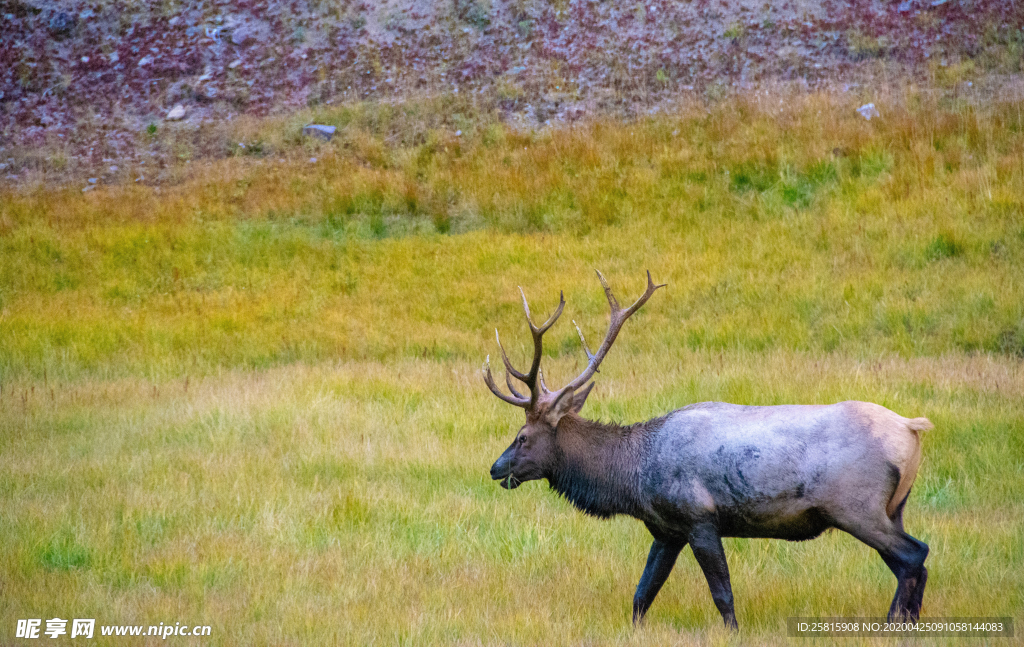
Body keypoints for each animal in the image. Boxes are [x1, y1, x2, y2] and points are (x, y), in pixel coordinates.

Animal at [483, 270, 933, 630]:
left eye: (523, 436)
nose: (494, 468)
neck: (633, 477)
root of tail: (912, 429)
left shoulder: (699, 518)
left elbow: (722, 594)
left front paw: (733, 632)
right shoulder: (666, 530)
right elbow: (642, 594)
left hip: (857, 507)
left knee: (915, 555)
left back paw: (893, 624)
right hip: (893, 507)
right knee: (915, 562)